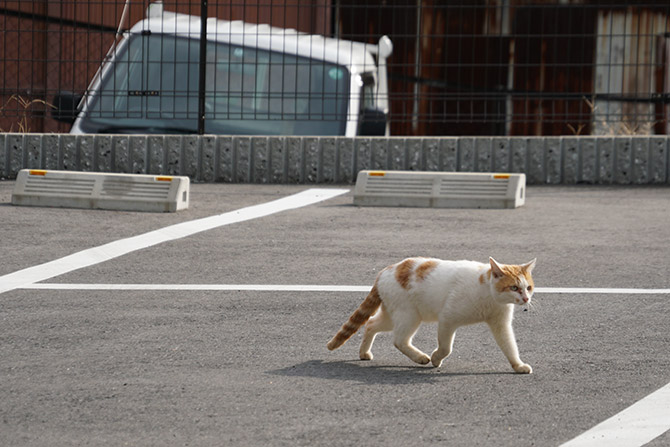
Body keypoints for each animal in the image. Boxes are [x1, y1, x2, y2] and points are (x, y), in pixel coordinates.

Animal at [328, 256, 540, 374]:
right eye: (514, 287)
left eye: (528, 287)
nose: (526, 298)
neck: (487, 293)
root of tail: (384, 271)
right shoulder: (447, 319)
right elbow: (446, 348)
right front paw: (436, 358)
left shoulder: (500, 324)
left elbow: (510, 346)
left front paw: (518, 365)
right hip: (409, 315)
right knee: (398, 340)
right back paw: (420, 357)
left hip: (393, 315)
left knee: (371, 324)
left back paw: (364, 353)